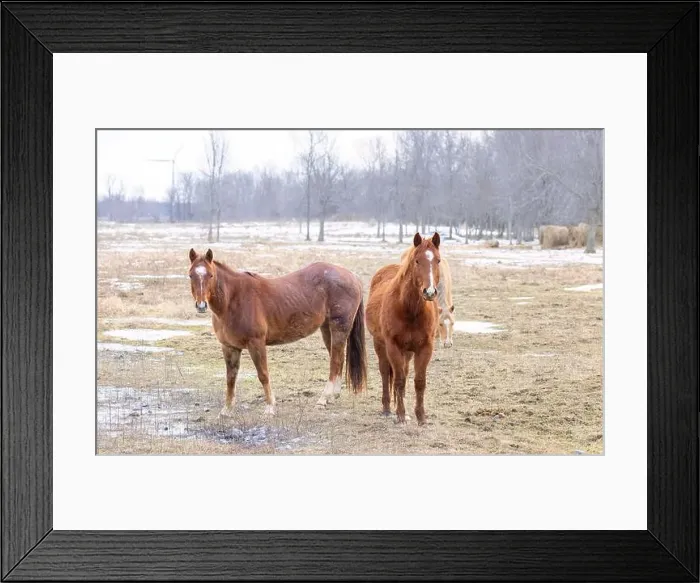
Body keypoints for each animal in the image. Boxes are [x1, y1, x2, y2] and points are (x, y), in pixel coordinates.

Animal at [187, 248, 367, 417]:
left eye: (210, 275)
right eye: (190, 275)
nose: (201, 305)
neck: (233, 300)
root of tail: (353, 277)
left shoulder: (256, 344)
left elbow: (263, 375)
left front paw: (270, 408)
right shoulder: (229, 347)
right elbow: (230, 378)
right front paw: (227, 410)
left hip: (338, 328)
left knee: (335, 361)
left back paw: (323, 399)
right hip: (326, 329)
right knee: (338, 359)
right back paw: (332, 396)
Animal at [366, 232, 441, 424]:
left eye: (437, 260)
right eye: (417, 260)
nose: (429, 292)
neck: (410, 310)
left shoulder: (425, 348)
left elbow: (419, 381)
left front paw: (420, 417)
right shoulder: (393, 346)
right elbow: (398, 380)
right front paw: (400, 415)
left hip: (407, 352)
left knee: (405, 373)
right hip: (380, 345)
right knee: (385, 372)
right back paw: (386, 408)